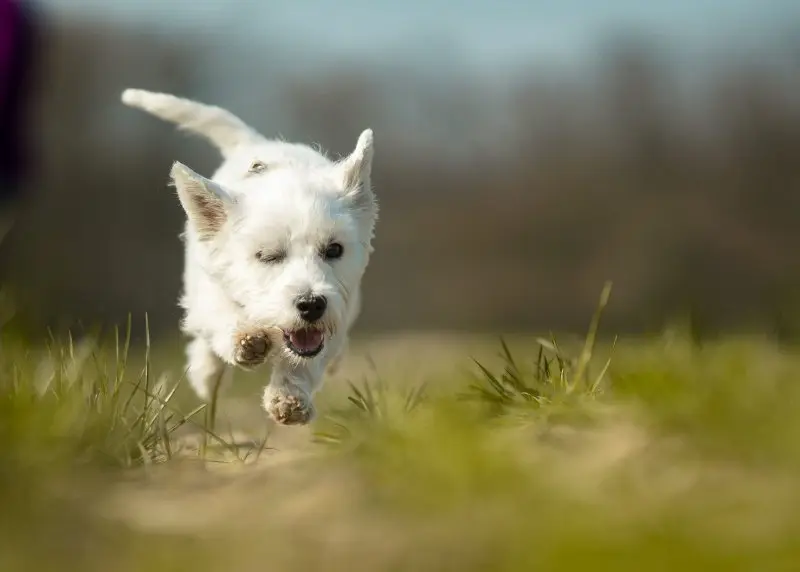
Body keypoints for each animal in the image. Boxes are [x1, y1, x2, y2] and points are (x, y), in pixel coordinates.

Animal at [121, 88, 378, 424]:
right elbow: (220, 313)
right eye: (267, 255)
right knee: (204, 340)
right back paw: (207, 373)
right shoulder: (209, 285)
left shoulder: (337, 312)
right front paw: (243, 338)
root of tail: (257, 143)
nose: (311, 305)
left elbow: (311, 354)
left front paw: (290, 395)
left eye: (334, 249)